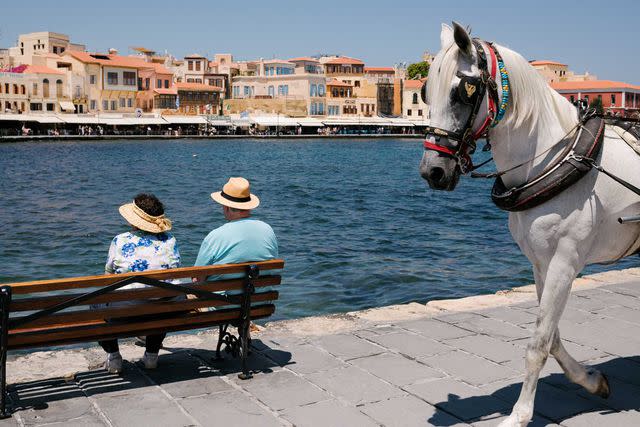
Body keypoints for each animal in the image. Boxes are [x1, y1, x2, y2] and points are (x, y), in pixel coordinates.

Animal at [420, 22, 640, 427]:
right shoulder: (540, 263)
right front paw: (591, 380)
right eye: (427, 91)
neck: (556, 156)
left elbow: (537, 343)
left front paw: (519, 414)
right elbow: (551, 336)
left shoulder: (565, 262)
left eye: (463, 92)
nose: (433, 171)